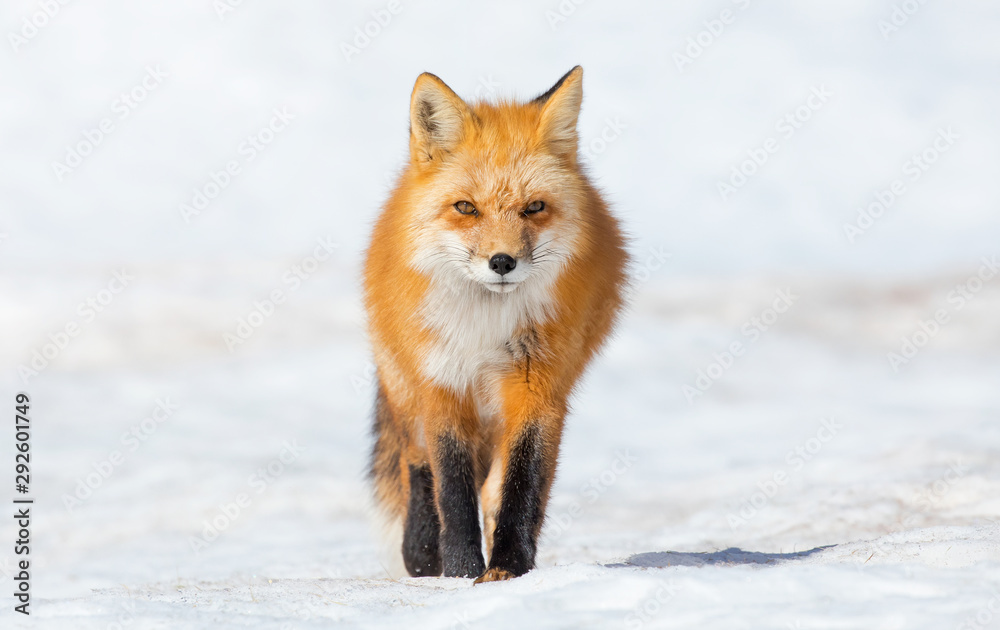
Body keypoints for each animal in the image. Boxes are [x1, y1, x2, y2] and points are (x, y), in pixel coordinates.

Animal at [363, 66, 627, 583]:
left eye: (534, 207)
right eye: (466, 208)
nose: (502, 262)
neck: (485, 329)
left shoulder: (539, 389)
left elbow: (522, 485)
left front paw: (507, 568)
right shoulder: (442, 384)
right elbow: (451, 487)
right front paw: (461, 569)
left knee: (493, 487)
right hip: (404, 387)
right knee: (416, 462)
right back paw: (422, 554)